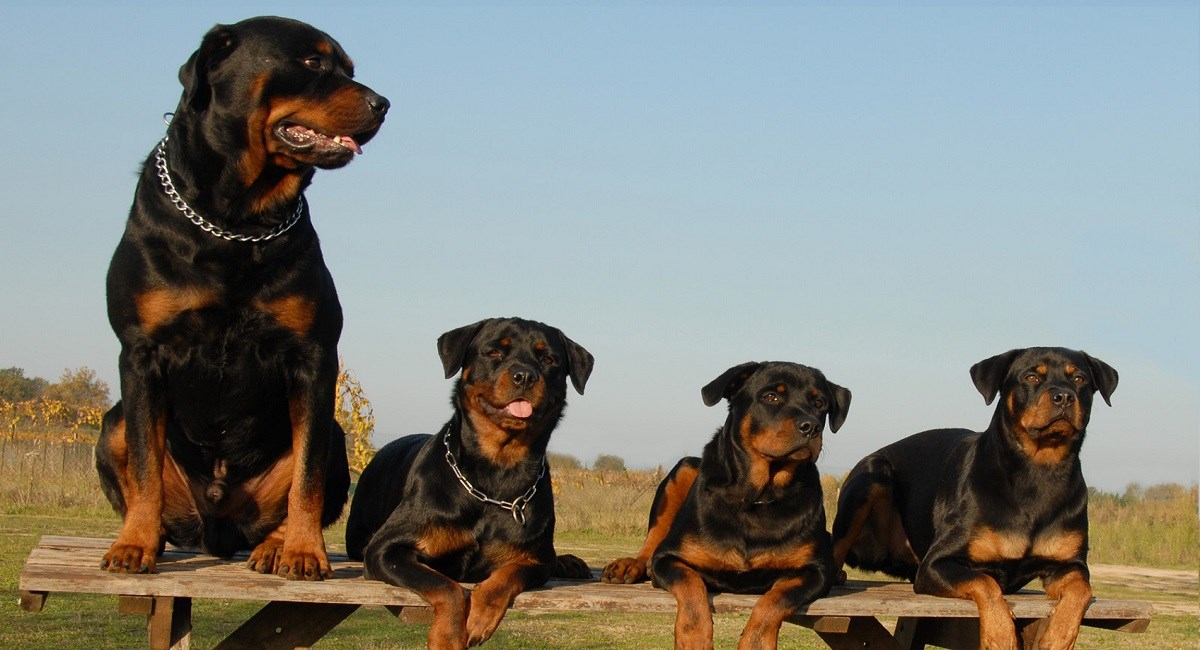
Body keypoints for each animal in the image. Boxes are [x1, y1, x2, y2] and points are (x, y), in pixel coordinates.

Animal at [99, 15, 388, 580]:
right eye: (312, 61)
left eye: (349, 69)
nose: (383, 103)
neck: (236, 221)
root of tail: (217, 531)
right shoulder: (141, 353)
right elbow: (143, 465)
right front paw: (134, 544)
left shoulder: (312, 357)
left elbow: (307, 477)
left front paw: (303, 551)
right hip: (112, 423)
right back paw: (153, 536)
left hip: (336, 438)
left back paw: (276, 546)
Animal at [345, 319, 592, 650]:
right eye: (494, 352)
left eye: (548, 359)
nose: (525, 375)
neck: (495, 474)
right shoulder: (385, 550)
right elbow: (444, 585)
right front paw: (448, 636)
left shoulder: (536, 560)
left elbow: (507, 575)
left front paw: (478, 618)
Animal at [604, 364, 849, 647]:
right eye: (771, 397)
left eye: (820, 403)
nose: (812, 427)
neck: (758, 496)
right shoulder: (668, 559)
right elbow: (690, 585)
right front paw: (694, 639)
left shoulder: (815, 571)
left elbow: (775, 600)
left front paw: (756, 643)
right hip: (684, 469)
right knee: (653, 540)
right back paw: (630, 565)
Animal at [830, 350, 1118, 647]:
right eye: (1031, 376)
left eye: (1080, 379)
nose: (1064, 396)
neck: (1038, 472)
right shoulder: (937, 564)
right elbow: (984, 582)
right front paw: (1001, 636)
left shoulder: (1068, 564)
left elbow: (1082, 589)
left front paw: (1059, 637)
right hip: (872, 476)